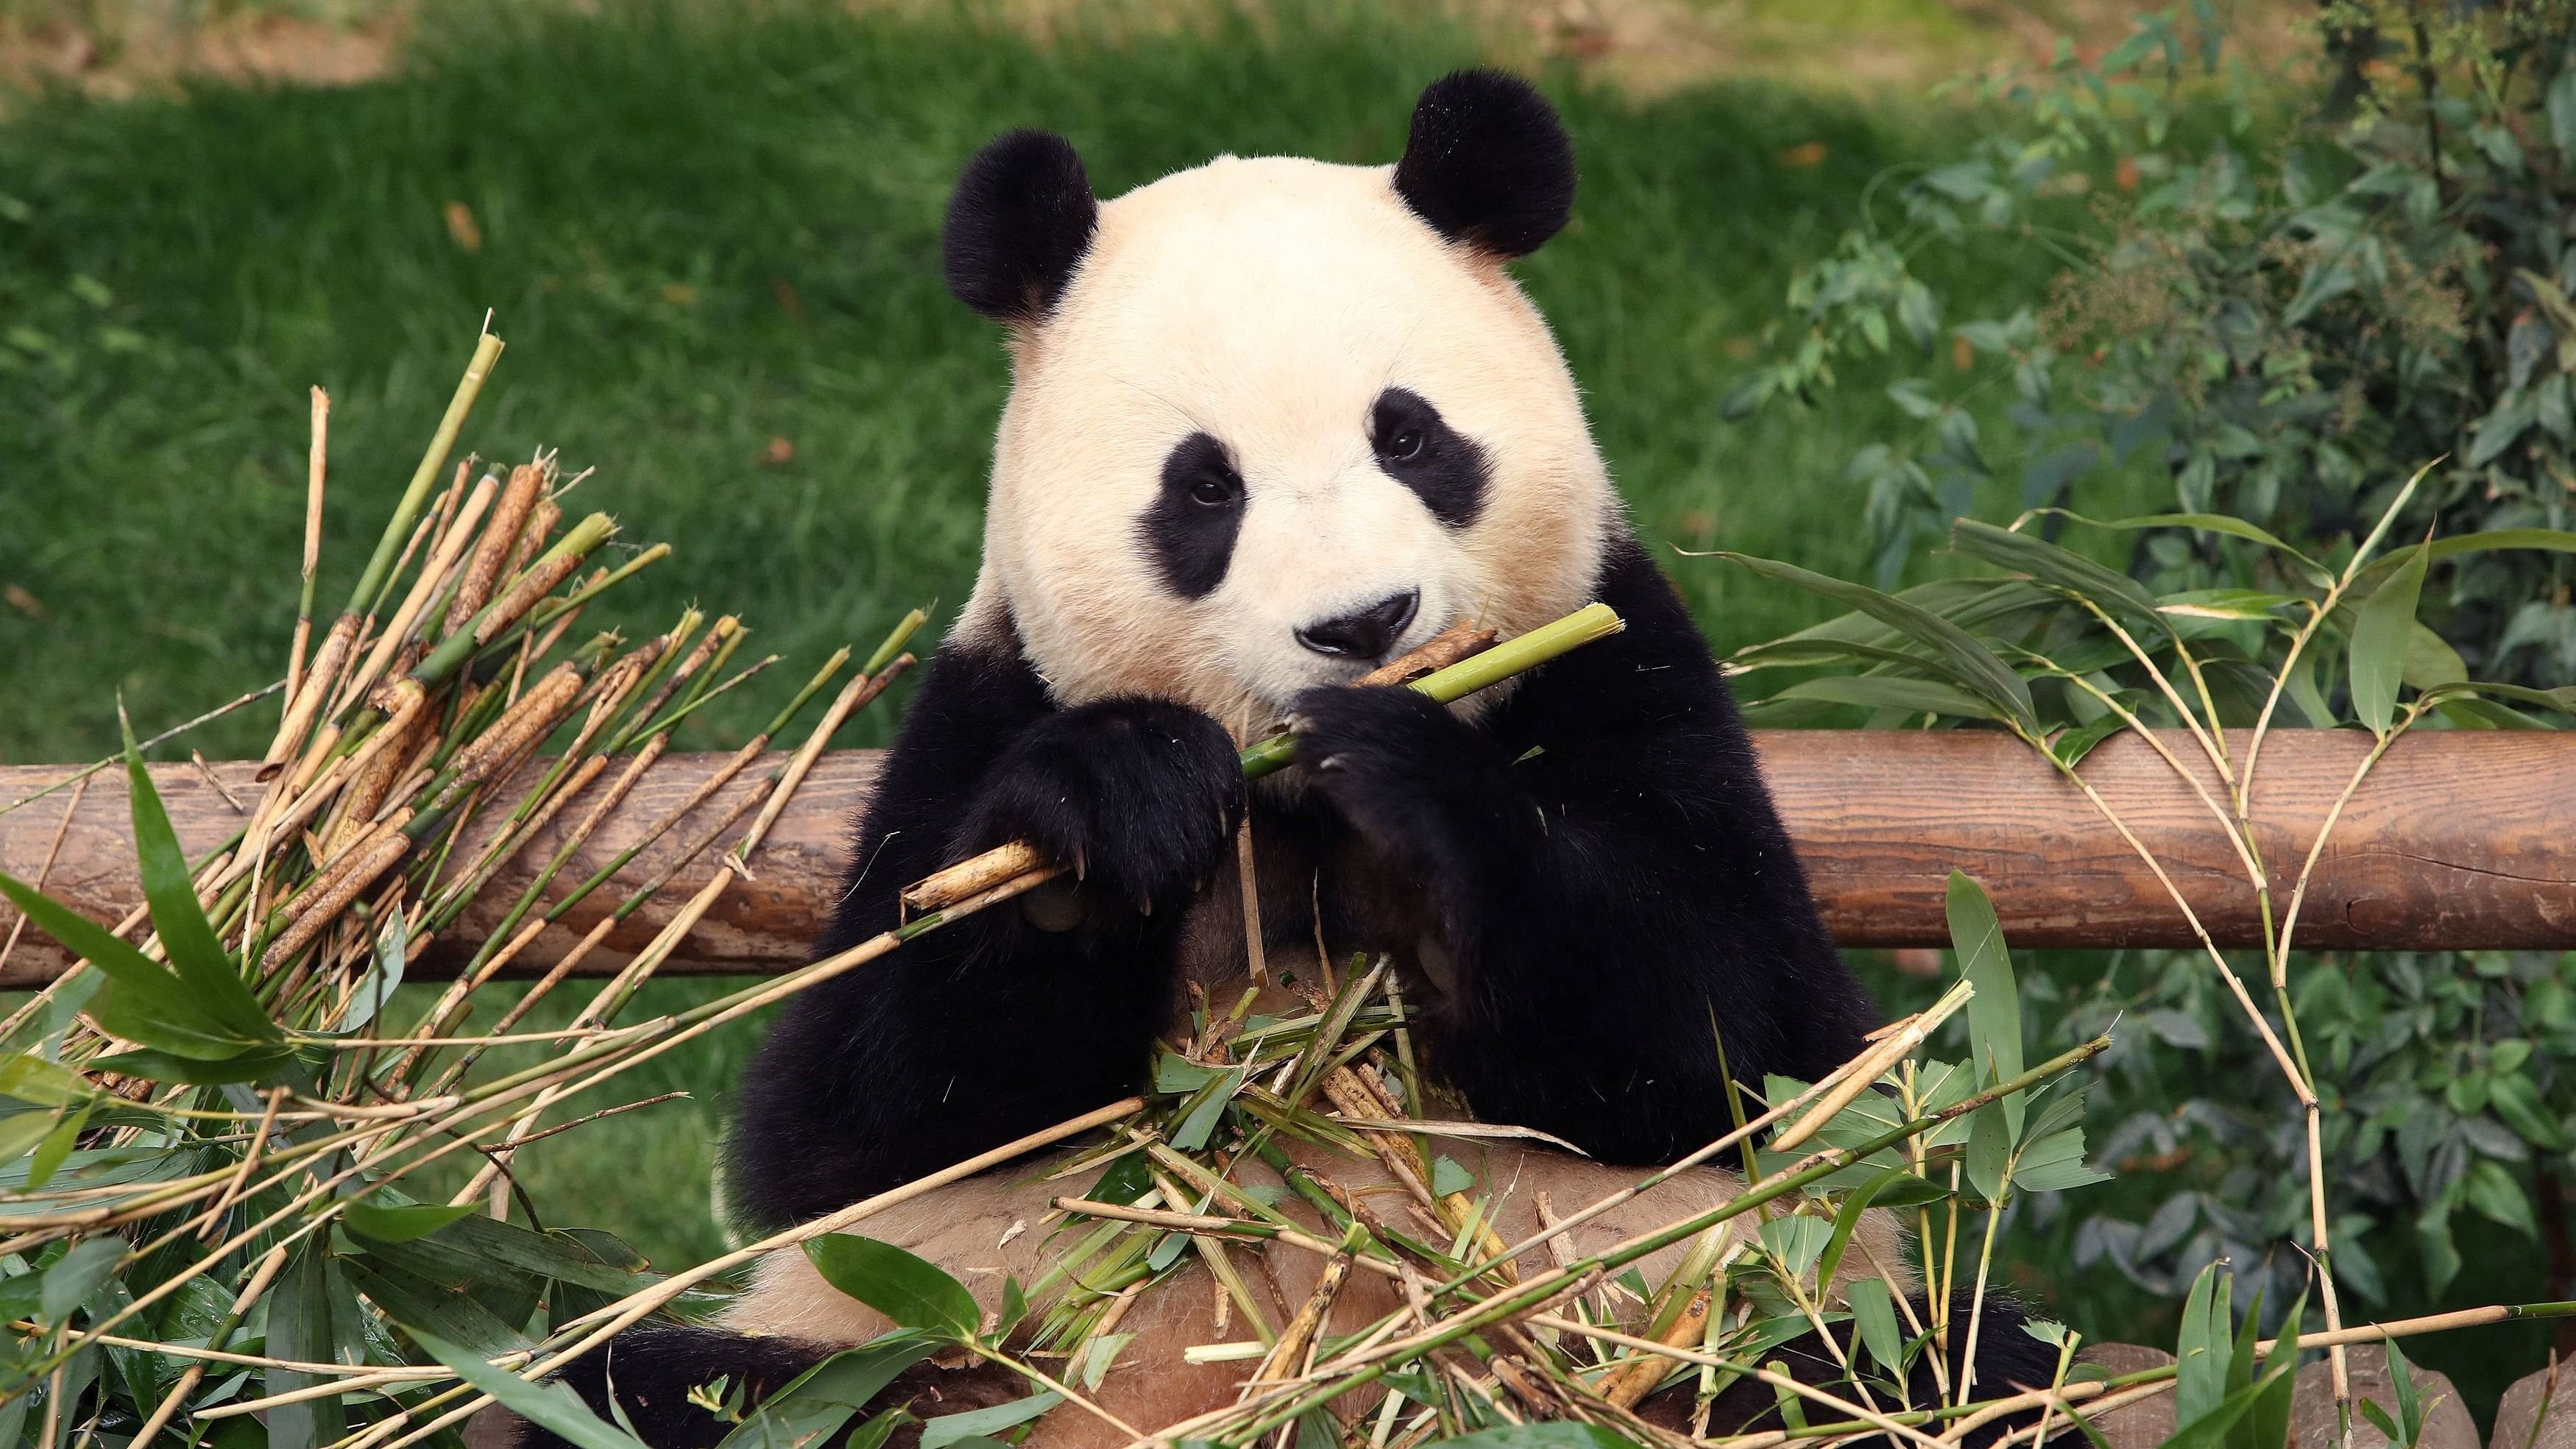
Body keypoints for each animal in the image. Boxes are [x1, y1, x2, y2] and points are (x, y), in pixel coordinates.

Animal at [523, 71, 2050, 1449]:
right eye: (1205, 488)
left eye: (1410, 434)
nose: (1362, 624)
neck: (1297, 817)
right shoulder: (980, 705)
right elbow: (850, 1120)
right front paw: (1109, 812)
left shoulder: (1619, 663)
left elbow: (1743, 1033)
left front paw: (1417, 785)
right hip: (906, 1365)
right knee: (634, 1388)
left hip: (1743, 1340)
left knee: (1943, 1375)